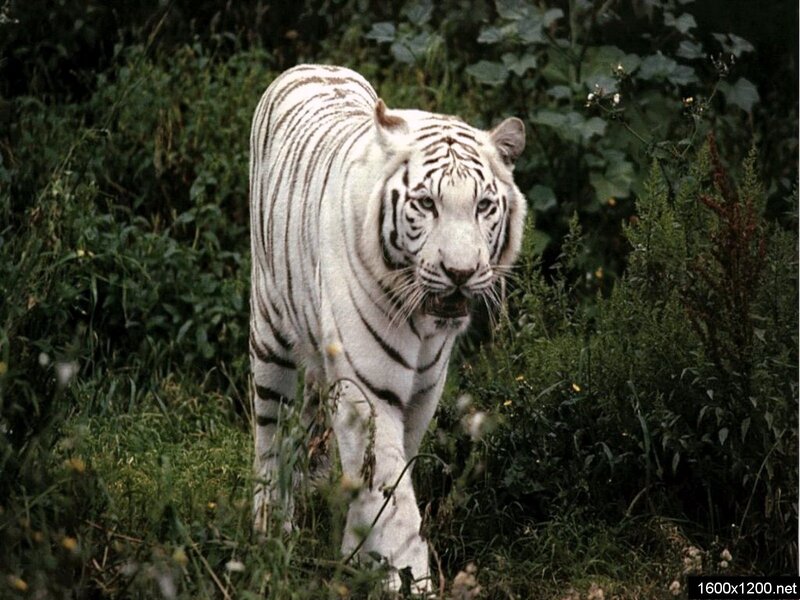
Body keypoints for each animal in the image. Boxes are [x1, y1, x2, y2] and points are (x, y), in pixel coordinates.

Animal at [249, 64, 526, 592]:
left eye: (483, 205)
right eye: (426, 204)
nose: (460, 272)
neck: (424, 321)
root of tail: (313, 65)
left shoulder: (424, 390)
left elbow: (385, 478)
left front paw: (360, 555)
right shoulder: (369, 387)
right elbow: (392, 494)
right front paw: (407, 579)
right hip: (270, 336)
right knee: (269, 435)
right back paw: (270, 527)